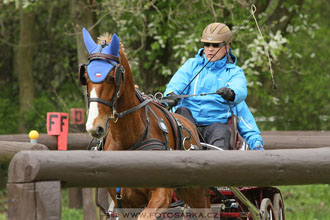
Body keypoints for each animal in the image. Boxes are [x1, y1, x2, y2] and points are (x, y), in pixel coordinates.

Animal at [78, 28, 211, 219]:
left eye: (111, 77)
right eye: (85, 77)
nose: (94, 126)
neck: (128, 139)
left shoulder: (161, 194)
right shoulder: (123, 202)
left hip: (197, 194)